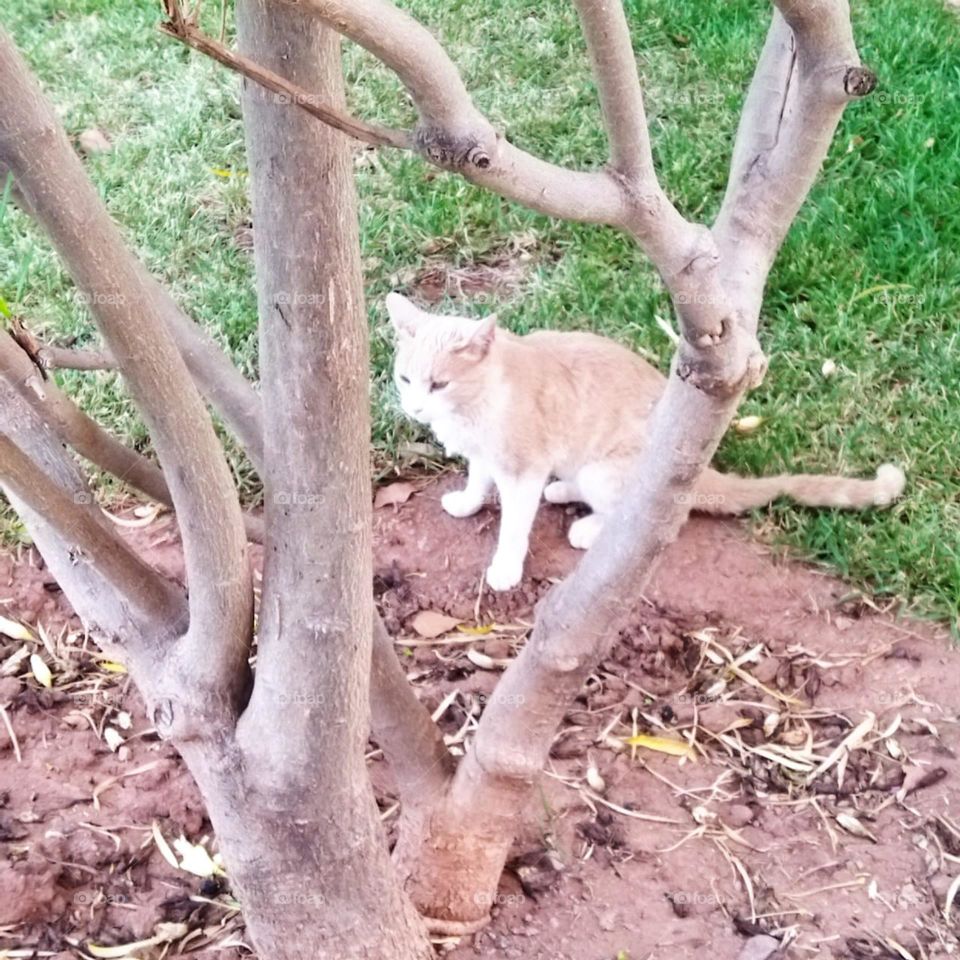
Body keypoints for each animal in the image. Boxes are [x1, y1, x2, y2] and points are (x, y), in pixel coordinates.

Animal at [384, 292, 908, 592]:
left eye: (439, 385)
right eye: (406, 379)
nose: (415, 409)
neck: (479, 402)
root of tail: (701, 468)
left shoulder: (521, 468)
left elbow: (514, 525)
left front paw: (506, 569)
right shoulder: (485, 455)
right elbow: (477, 480)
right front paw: (467, 502)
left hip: (609, 472)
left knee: (654, 519)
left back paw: (590, 527)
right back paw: (564, 490)